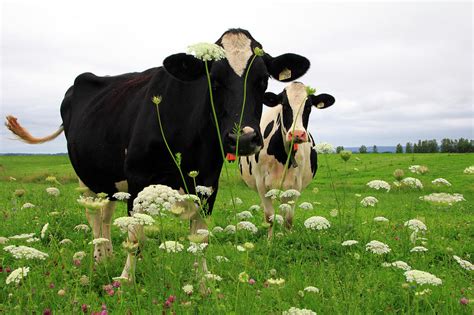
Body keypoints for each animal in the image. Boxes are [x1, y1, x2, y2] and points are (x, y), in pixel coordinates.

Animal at [5, 29, 312, 278]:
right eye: (213, 80)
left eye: (262, 81)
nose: (243, 137)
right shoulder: (138, 179)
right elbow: (135, 237)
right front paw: (126, 283)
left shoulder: (207, 184)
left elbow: (200, 240)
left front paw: (203, 284)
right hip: (87, 178)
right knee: (95, 218)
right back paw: (99, 260)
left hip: (111, 182)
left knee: (106, 217)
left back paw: (108, 258)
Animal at [239, 82, 336, 236]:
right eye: (284, 105)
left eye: (308, 107)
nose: (297, 134)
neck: (281, 156)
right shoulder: (261, 184)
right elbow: (269, 217)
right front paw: (270, 240)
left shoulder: (295, 185)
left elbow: (289, 218)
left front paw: (286, 238)